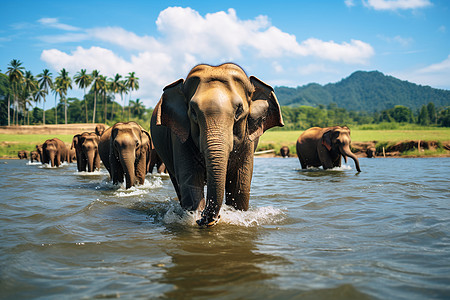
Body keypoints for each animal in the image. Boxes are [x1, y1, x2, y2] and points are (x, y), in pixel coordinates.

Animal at [151, 63, 284, 227]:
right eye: (193, 111)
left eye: (239, 110)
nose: (205, 219)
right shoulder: (180, 136)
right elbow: (191, 183)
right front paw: (195, 217)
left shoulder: (248, 142)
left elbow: (240, 186)